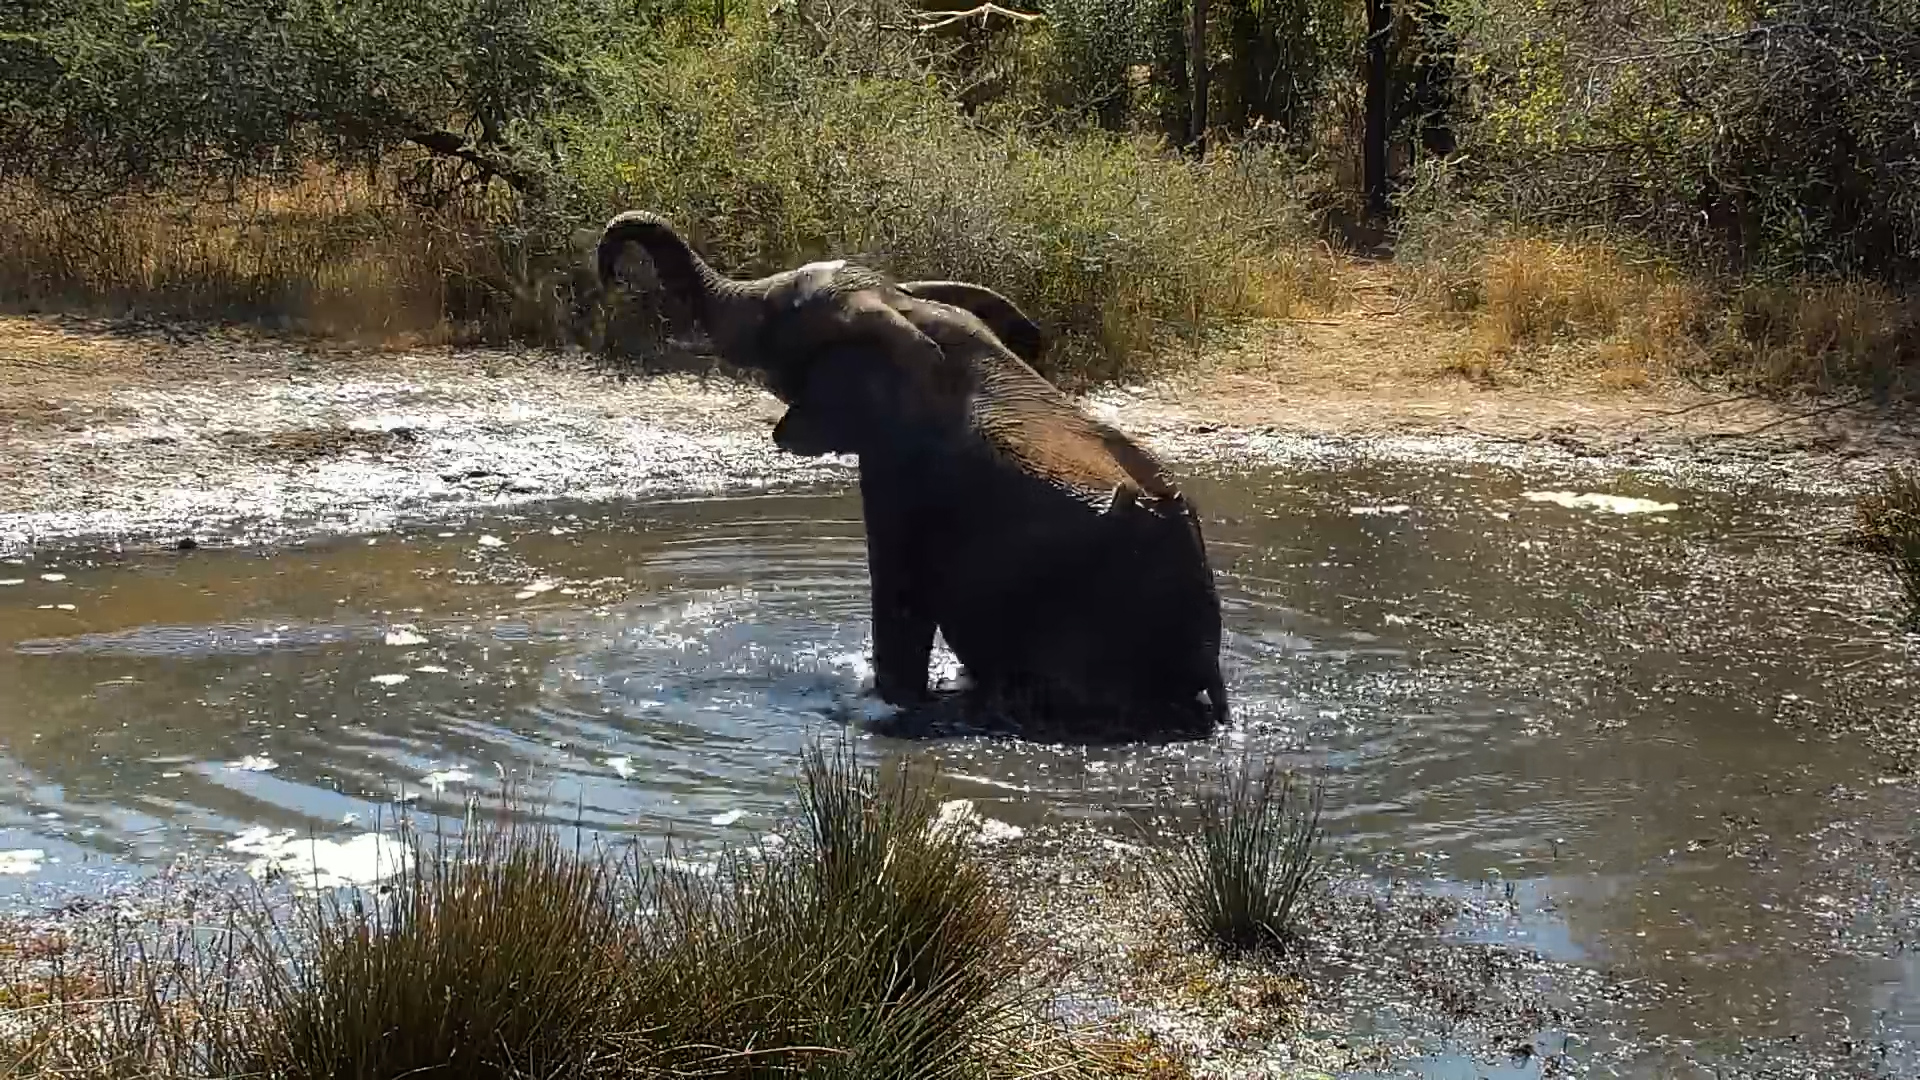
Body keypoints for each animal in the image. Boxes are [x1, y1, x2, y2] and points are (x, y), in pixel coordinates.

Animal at [596, 210, 1229, 738]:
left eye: (775, 319)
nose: (612, 278)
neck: (904, 307)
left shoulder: (904, 475)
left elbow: (899, 605)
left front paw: (889, 703)